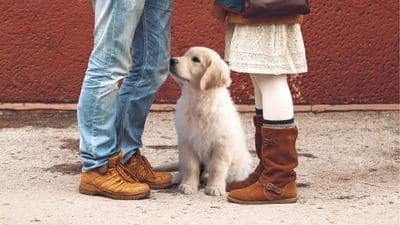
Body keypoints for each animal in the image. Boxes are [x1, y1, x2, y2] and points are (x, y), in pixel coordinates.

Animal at [170, 46, 252, 196]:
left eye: (196, 60)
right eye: (185, 54)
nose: (171, 60)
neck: (199, 99)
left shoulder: (221, 144)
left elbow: (217, 167)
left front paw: (215, 187)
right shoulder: (186, 141)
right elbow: (190, 166)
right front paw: (188, 185)